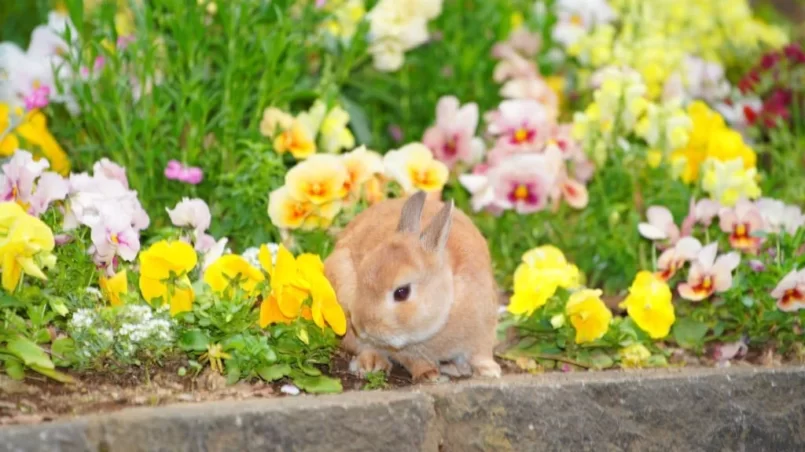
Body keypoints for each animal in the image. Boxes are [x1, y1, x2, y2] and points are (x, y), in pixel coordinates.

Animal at [322, 191, 500, 382]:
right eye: (360, 273)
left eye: (402, 292)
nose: (362, 325)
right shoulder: (403, 347)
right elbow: (412, 359)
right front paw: (429, 374)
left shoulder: (483, 330)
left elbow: (481, 354)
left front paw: (490, 371)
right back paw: (372, 363)